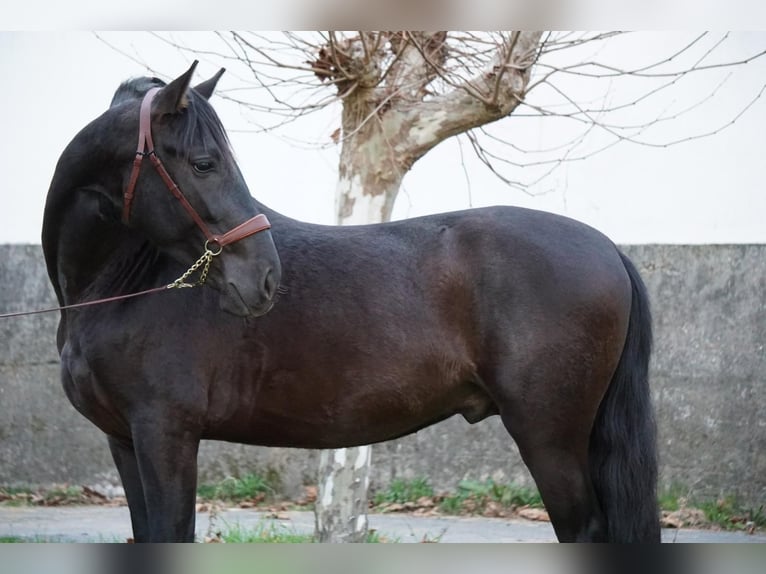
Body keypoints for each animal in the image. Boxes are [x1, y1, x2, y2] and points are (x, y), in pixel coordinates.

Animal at [43, 63, 660, 544]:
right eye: (202, 162)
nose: (264, 278)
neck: (118, 287)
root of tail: (608, 247)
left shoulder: (166, 434)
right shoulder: (126, 440)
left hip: (549, 436)